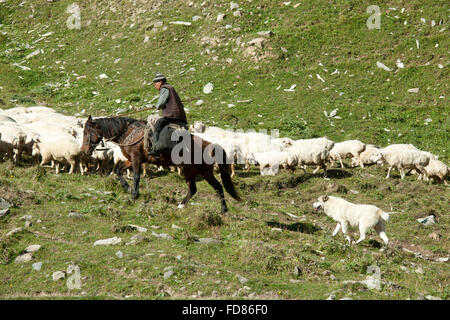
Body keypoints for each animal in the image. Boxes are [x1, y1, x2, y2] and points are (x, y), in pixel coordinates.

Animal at [82, 115, 241, 212]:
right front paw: (127, 188)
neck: (129, 132)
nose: (84, 150)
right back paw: (181, 205)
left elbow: (136, 177)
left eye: (86, 132)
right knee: (193, 189)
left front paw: (134, 194)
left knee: (218, 187)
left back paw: (223, 210)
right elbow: (118, 171)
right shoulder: (130, 160)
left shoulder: (136, 158)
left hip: (205, 171)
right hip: (190, 170)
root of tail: (211, 145)